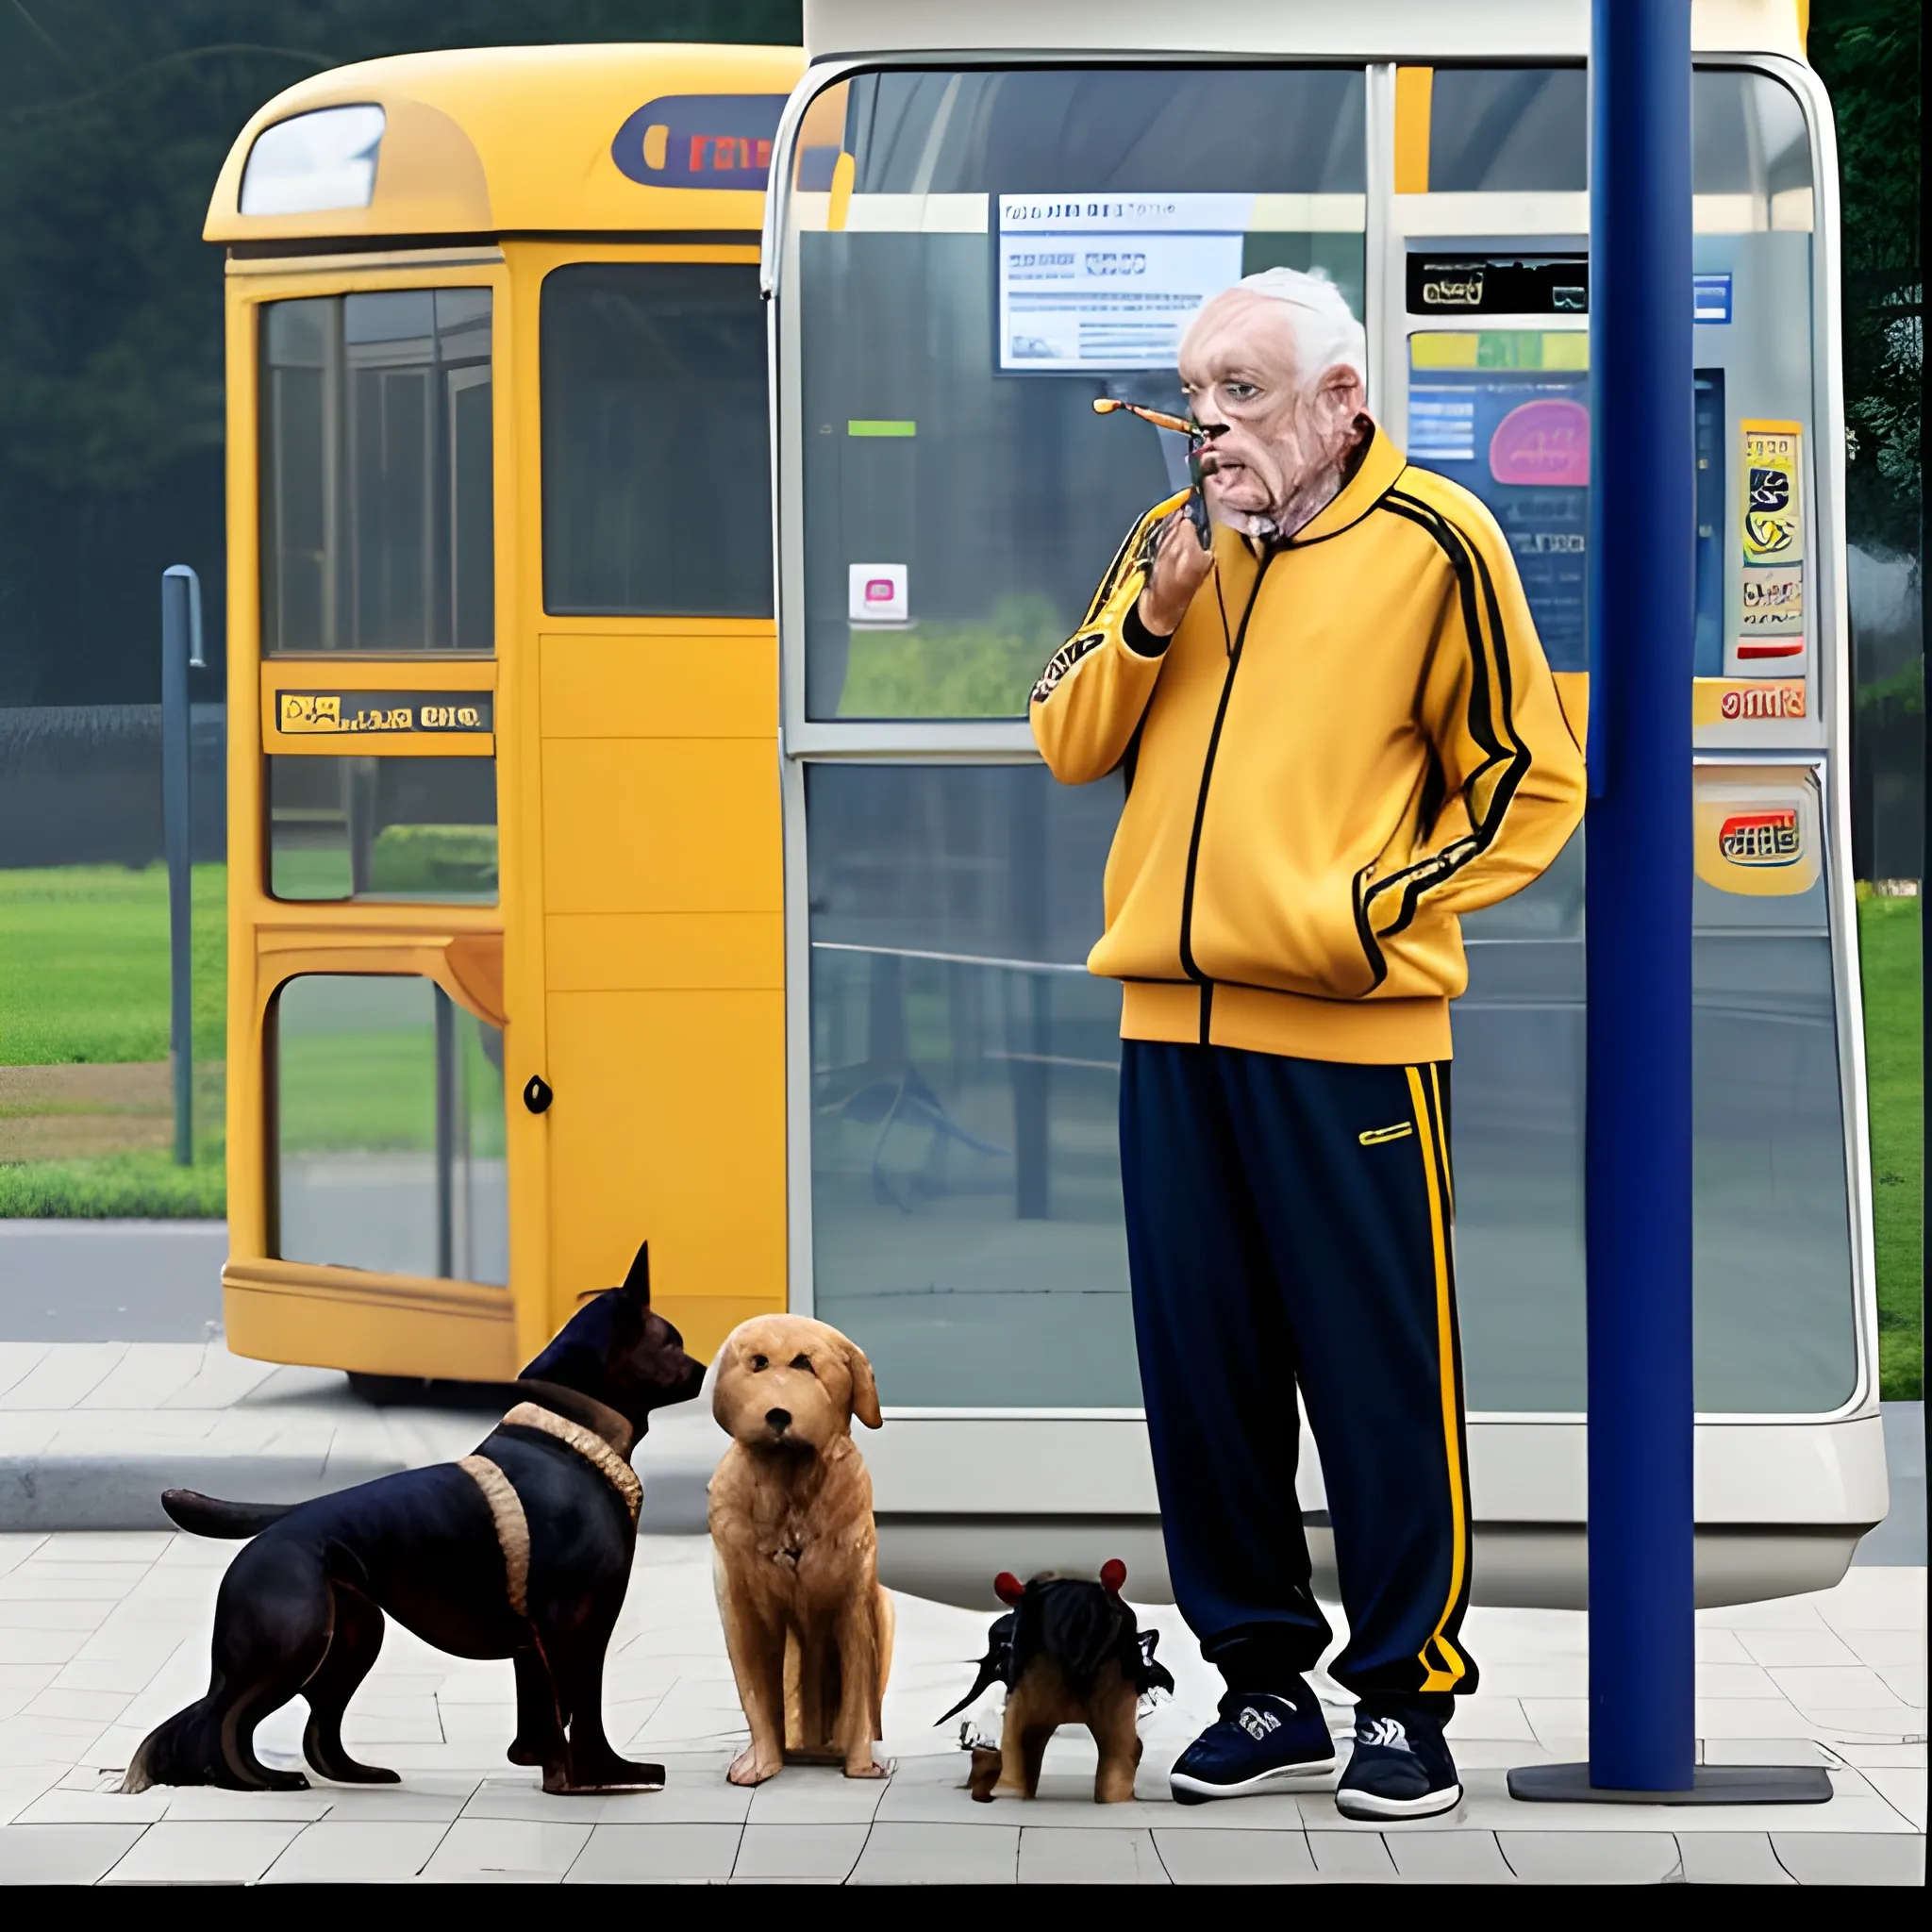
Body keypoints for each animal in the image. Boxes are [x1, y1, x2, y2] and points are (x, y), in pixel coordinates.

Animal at [118, 1243, 703, 1800]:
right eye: (670, 1342)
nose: (703, 1368)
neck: (575, 1428)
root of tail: (283, 1520)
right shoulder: (577, 1623)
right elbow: (582, 1711)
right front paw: (594, 1777)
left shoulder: (538, 1643)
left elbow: (542, 1714)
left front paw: (545, 1767)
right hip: (292, 1649)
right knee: (223, 1720)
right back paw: (258, 1781)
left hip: (349, 1641)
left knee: (309, 1730)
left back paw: (350, 1775)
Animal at [707, 1313, 892, 1777]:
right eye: (758, 1363)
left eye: (805, 1363)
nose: (777, 1415)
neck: (790, 1482)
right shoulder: (742, 1608)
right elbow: (757, 1694)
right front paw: (761, 1765)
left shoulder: (853, 1604)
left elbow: (859, 1695)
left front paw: (860, 1766)